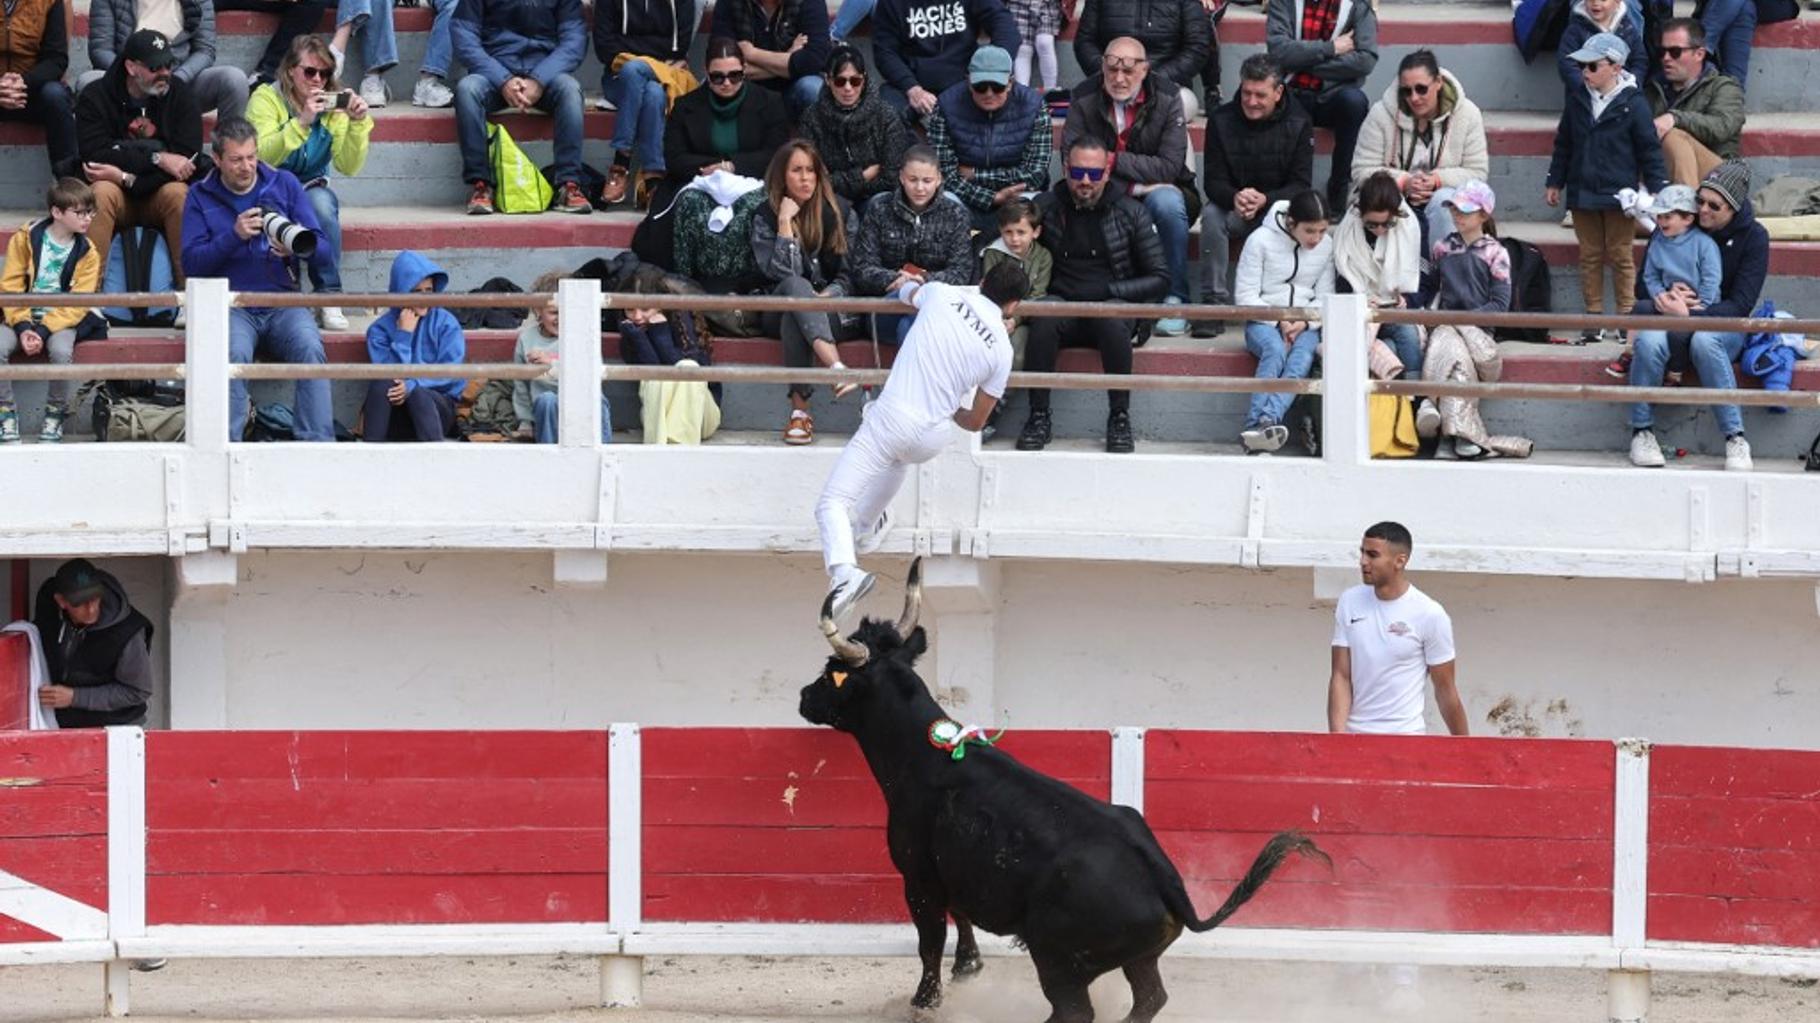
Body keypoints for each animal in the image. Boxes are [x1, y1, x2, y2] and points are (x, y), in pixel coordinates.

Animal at [804, 560, 1332, 1012]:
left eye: (832, 669)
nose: (804, 697)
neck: (925, 753)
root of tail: (1167, 883)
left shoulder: (918, 878)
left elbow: (930, 941)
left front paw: (924, 1002)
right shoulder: (957, 871)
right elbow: (963, 919)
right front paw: (969, 967)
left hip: (1058, 960)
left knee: (1074, 1010)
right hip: (1137, 959)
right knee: (1151, 998)